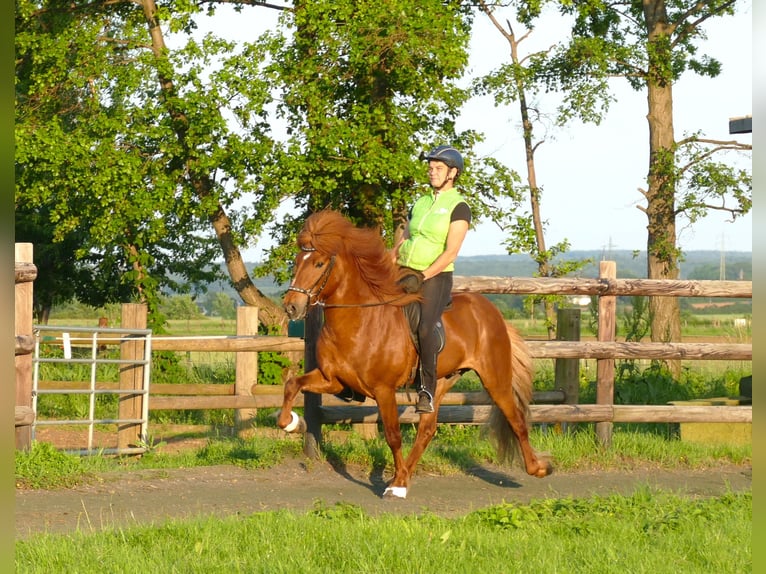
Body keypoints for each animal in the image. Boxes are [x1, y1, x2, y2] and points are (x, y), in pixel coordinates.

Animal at [278, 210, 552, 500]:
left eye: (319, 264)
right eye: (297, 262)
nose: (291, 307)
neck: (360, 320)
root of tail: (491, 311)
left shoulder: (384, 389)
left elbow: (393, 435)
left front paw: (395, 487)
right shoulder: (333, 380)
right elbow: (292, 384)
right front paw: (293, 423)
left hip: (494, 378)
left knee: (516, 419)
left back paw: (538, 468)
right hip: (440, 382)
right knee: (427, 429)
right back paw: (403, 476)